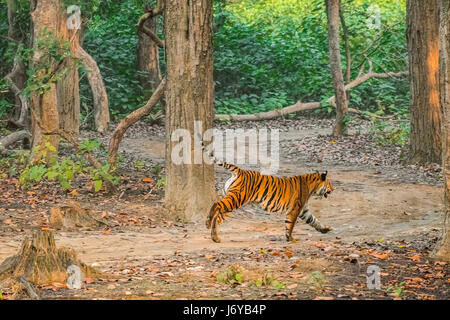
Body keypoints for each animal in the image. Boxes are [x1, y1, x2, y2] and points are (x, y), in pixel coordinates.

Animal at [199, 134, 332, 242]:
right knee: (216, 205)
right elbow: (290, 224)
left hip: (231, 199)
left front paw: (325, 229)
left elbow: (314, 220)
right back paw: (207, 223)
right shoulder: (295, 208)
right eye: (329, 183)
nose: (333, 189)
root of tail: (240, 171)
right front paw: (290, 238)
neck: (312, 188)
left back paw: (215, 237)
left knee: (218, 215)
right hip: (236, 198)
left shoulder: (304, 210)